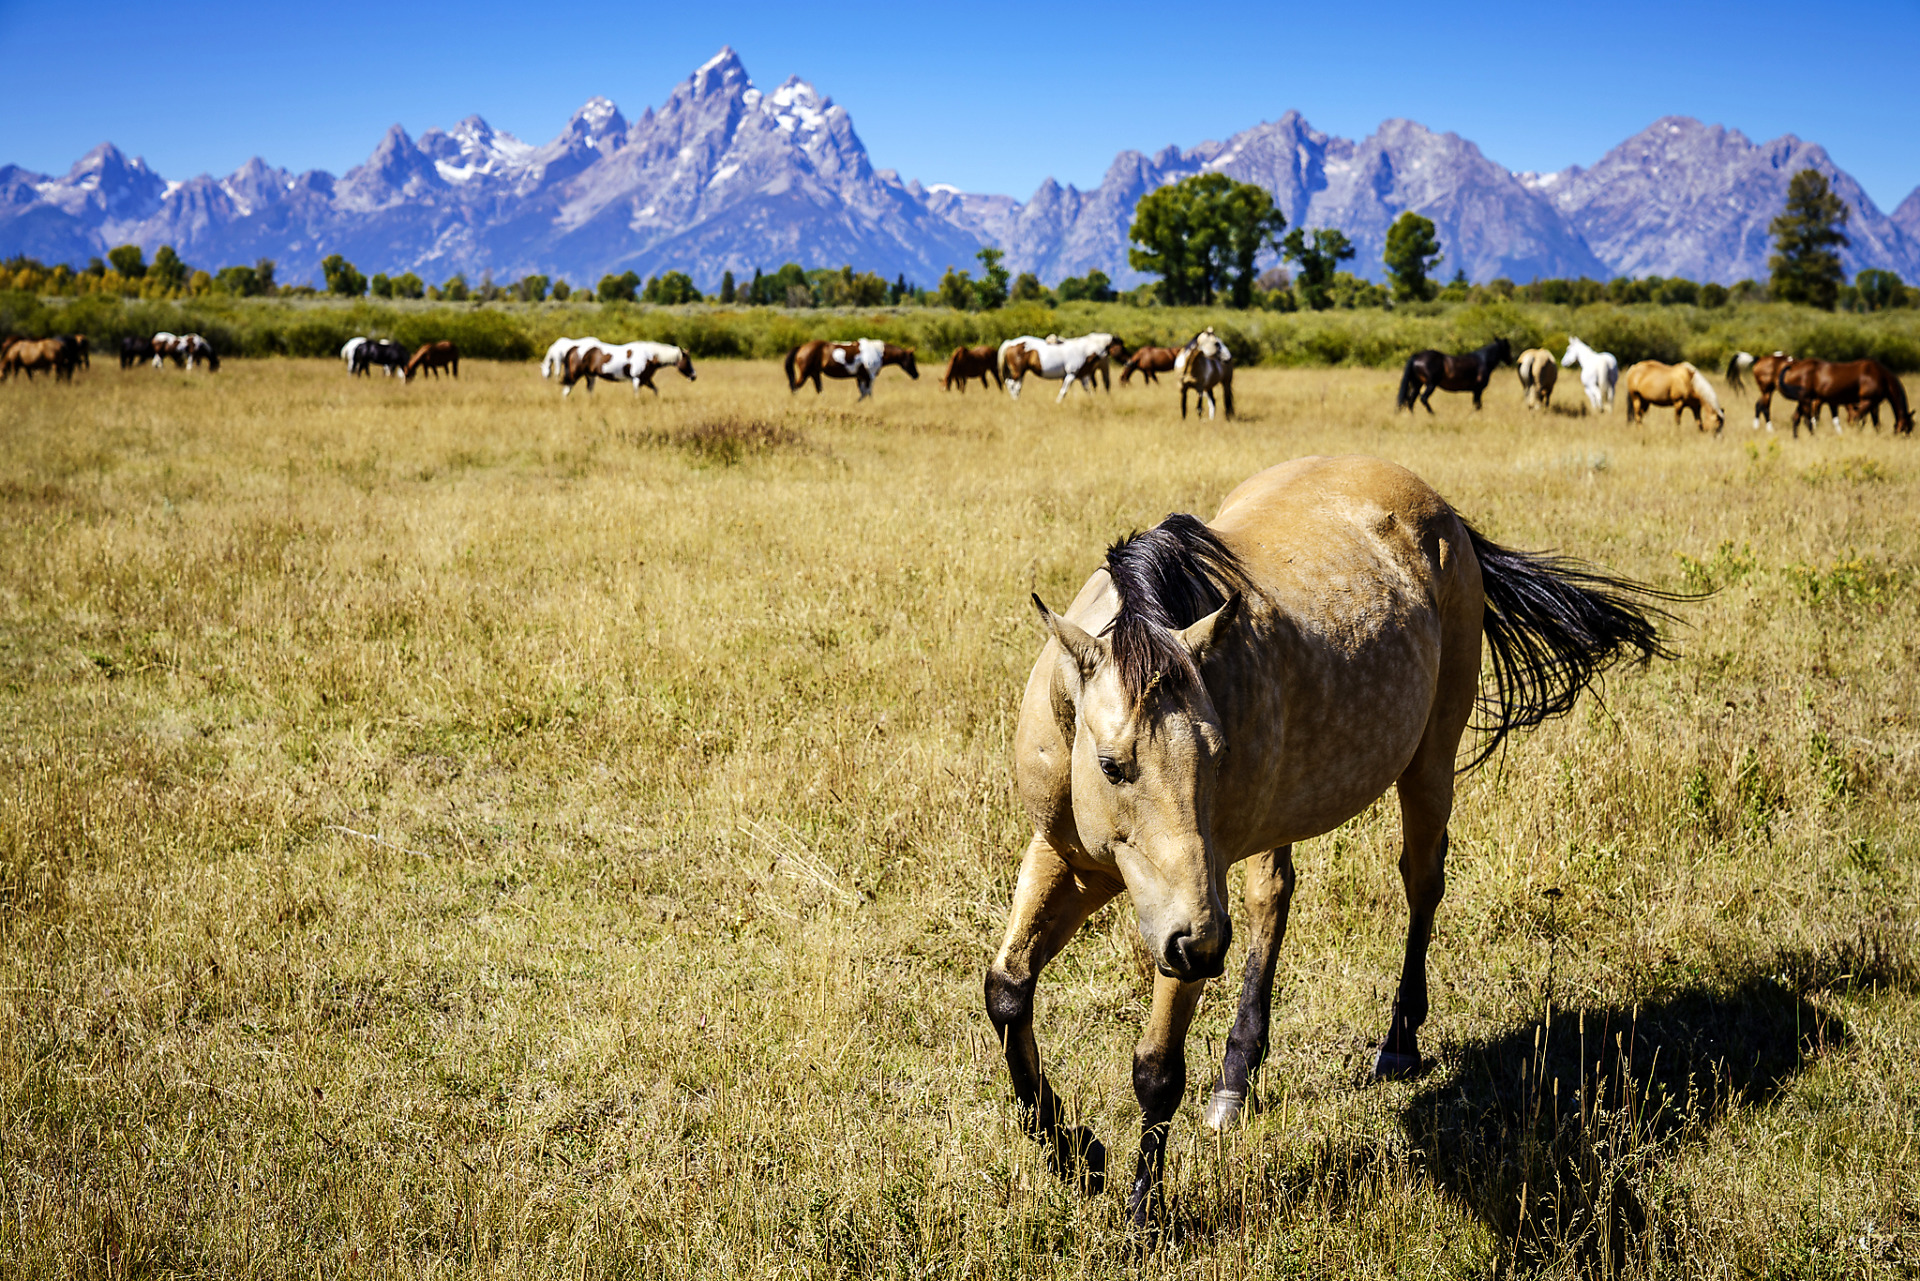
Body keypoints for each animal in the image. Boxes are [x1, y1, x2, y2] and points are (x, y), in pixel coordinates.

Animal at [787, 338, 921, 397]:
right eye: (912, 359)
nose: (916, 374)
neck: (877, 352)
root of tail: (801, 347)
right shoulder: (868, 378)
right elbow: (867, 393)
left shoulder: (860, 377)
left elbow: (863, 393)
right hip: (805, 374)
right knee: (795, 387)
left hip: (815, 374)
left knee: (819, 390)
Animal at [990, 455, 1681, 1229]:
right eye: (1112, 765)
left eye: (1217, 756)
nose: (1199, 946)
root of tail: (1441, 509)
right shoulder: (1069, 857)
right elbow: (1007, 992)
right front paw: (1073, 1154)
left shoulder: (1186, 902)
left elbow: (1158, 1067)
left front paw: (1141, 1211)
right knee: (1273, 899)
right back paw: (1236, 1078)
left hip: (1431, 758)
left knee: (1422, 881)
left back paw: (1399, 1044)